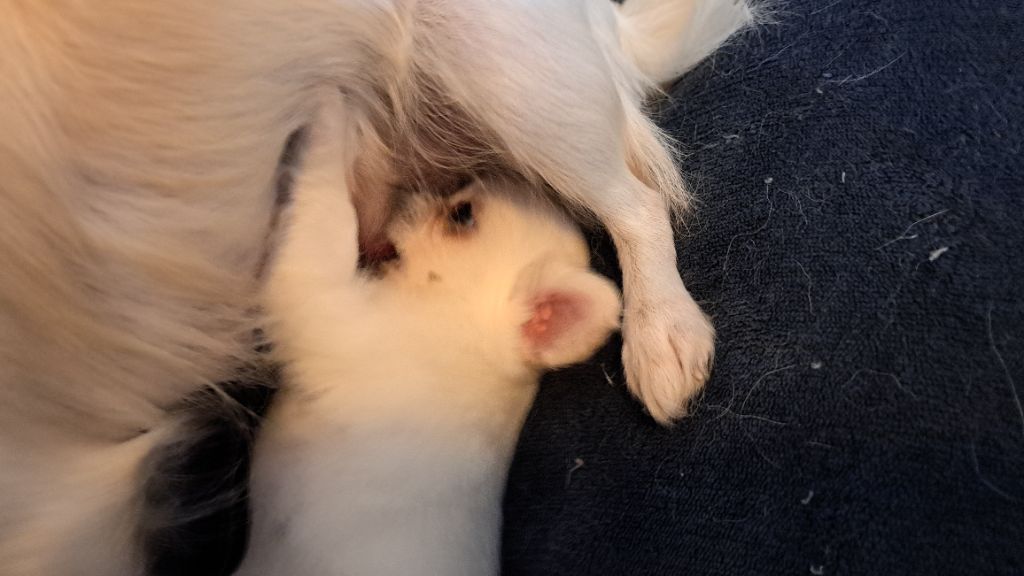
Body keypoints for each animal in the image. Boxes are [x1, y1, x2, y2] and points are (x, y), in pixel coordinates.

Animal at [237, 100, 622, 575]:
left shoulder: (323, 301)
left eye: (461, 214)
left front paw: (333, 117)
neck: (462, 327)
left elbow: (326, 214)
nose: (416, 188)